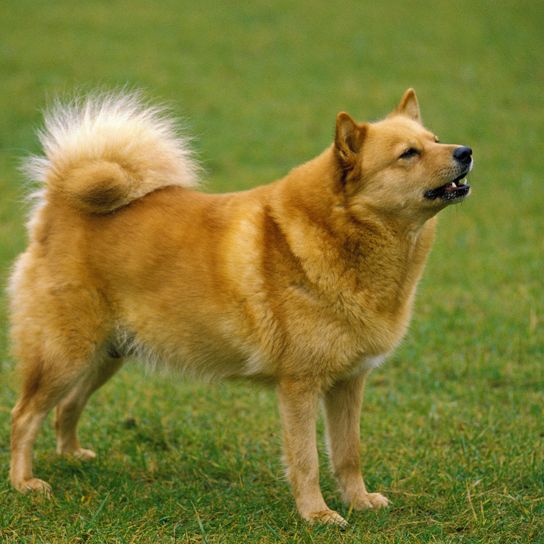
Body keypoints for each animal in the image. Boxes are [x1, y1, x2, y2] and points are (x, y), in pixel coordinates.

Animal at [7, 89, 472, 528]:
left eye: (435, 140)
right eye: (408, 154)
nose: (465, 151)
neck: (340, 232)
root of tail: (58, 206)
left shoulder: (348, 383)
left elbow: (347, 453)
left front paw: (359, 502)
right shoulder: (300, 387)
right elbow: (307, 460)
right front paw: (317, 515)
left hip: (105, 357)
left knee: (65, 407)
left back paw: (72, 456)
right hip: (65, 356)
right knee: (24, 415)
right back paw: (24, 483)